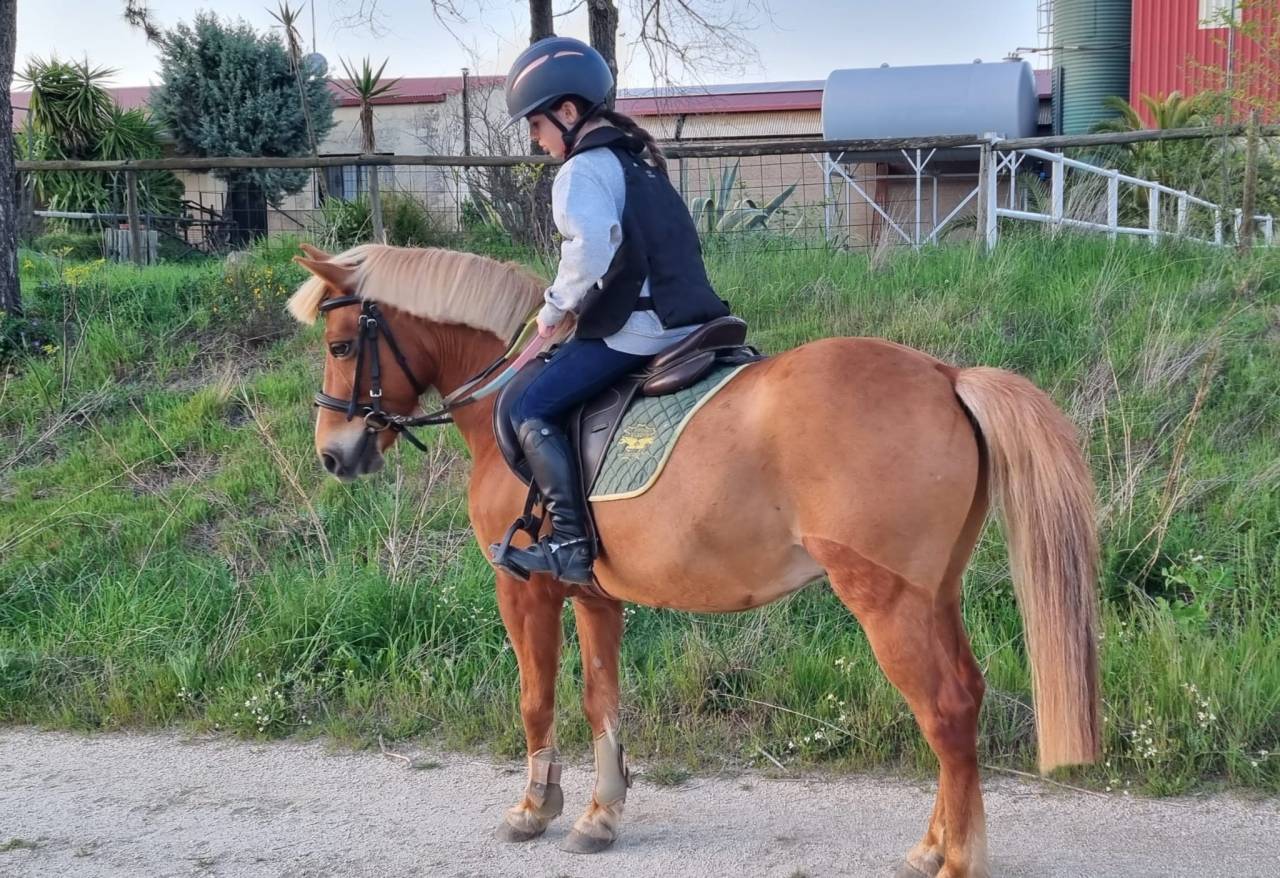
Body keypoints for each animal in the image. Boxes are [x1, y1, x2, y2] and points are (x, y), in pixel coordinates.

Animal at [288, 242, 1100, 878]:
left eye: (339, 346)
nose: (333, 455)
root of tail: (944, 375)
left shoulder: (525, 588)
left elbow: (535, 698)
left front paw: (534, 807)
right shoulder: (594, 594)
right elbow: (601, 700)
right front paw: (600, 815)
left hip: (887, 599)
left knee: (946, 710)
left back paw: (956, 859)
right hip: (934, 593)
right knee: (963, 697)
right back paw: (931, 847)